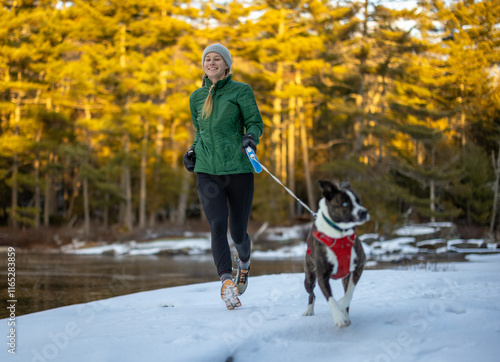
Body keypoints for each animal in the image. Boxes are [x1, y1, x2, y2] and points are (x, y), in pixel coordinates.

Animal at [302, 181, 370, 328]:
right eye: (344, 203)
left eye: (359, 201)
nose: (364, 212)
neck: (340, 235)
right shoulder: (322, 276)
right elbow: (330, 298)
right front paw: (339, 317)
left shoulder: (358, 266)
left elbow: (349, 292)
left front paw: (342, 306)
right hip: (309, 278)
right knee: (312, 294)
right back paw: (309, 310)